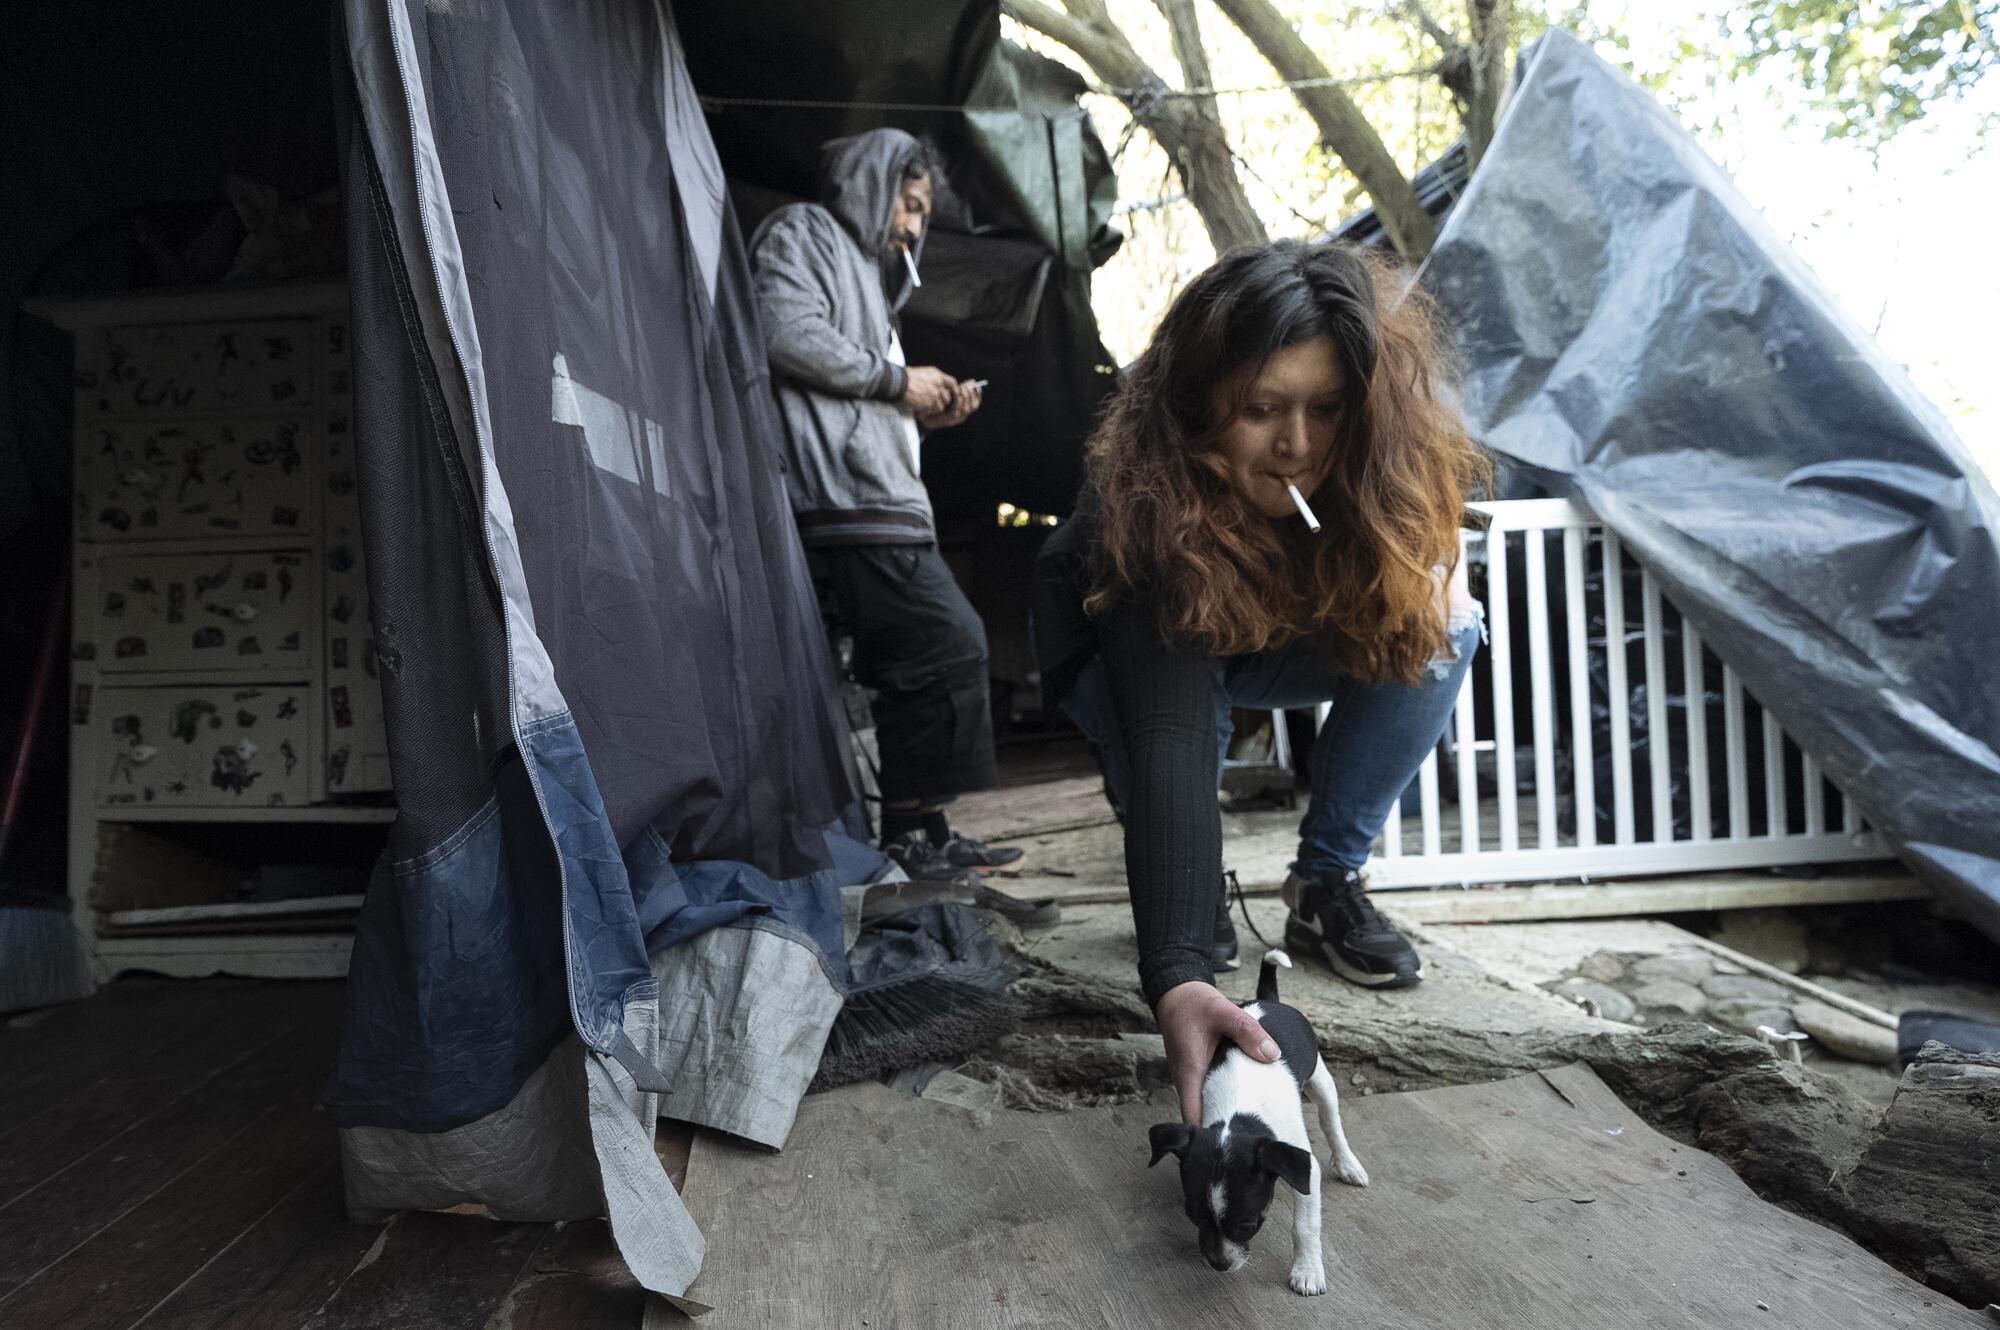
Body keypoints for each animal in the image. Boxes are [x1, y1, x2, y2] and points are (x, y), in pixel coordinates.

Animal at [1152, 948, 1368, 1288]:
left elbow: (1305, 1226)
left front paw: (1307, 1271)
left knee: (1331, 1121)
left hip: (1320, 1078)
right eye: (1193, 1216)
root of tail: (1268, 1000)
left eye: (1246, 1225)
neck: (1239, 1114)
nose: (1219, 1264)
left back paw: (1348, 1164)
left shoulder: (1304, 1168)